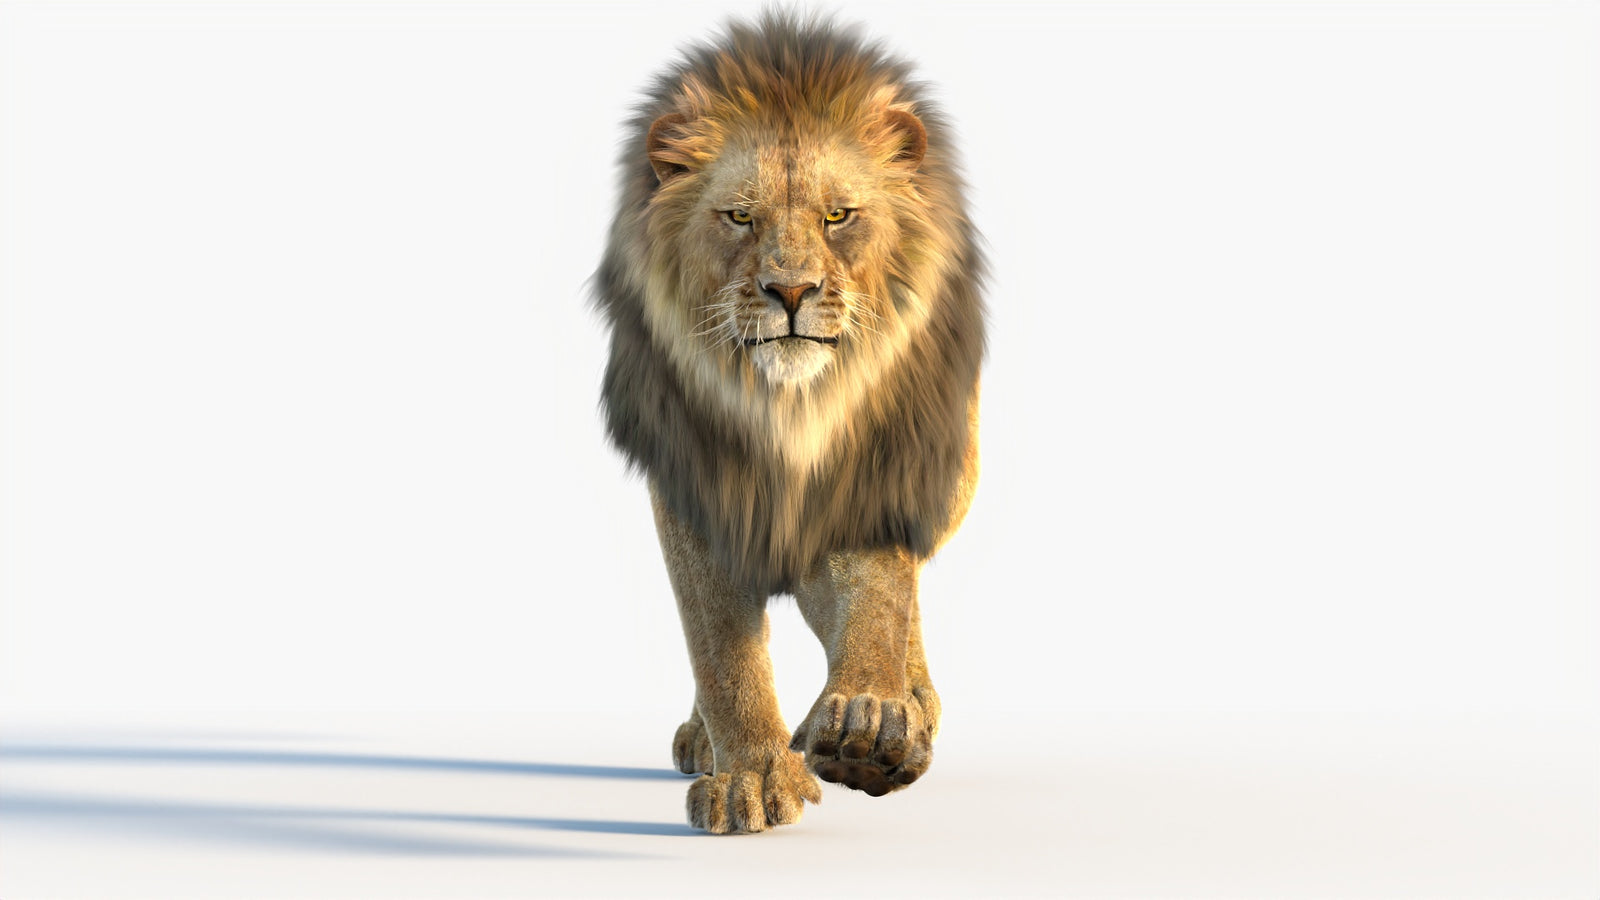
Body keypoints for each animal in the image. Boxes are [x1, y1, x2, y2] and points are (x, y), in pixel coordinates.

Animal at [593, 12, 985, 834]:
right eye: (740, 217)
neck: (786, 411)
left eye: (838, 216)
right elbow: (721, 647)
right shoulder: (695, 490)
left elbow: (879, 595)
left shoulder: (881, 470)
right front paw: (751, 777)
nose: (792, 291)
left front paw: (872, 721)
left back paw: (913, 705)